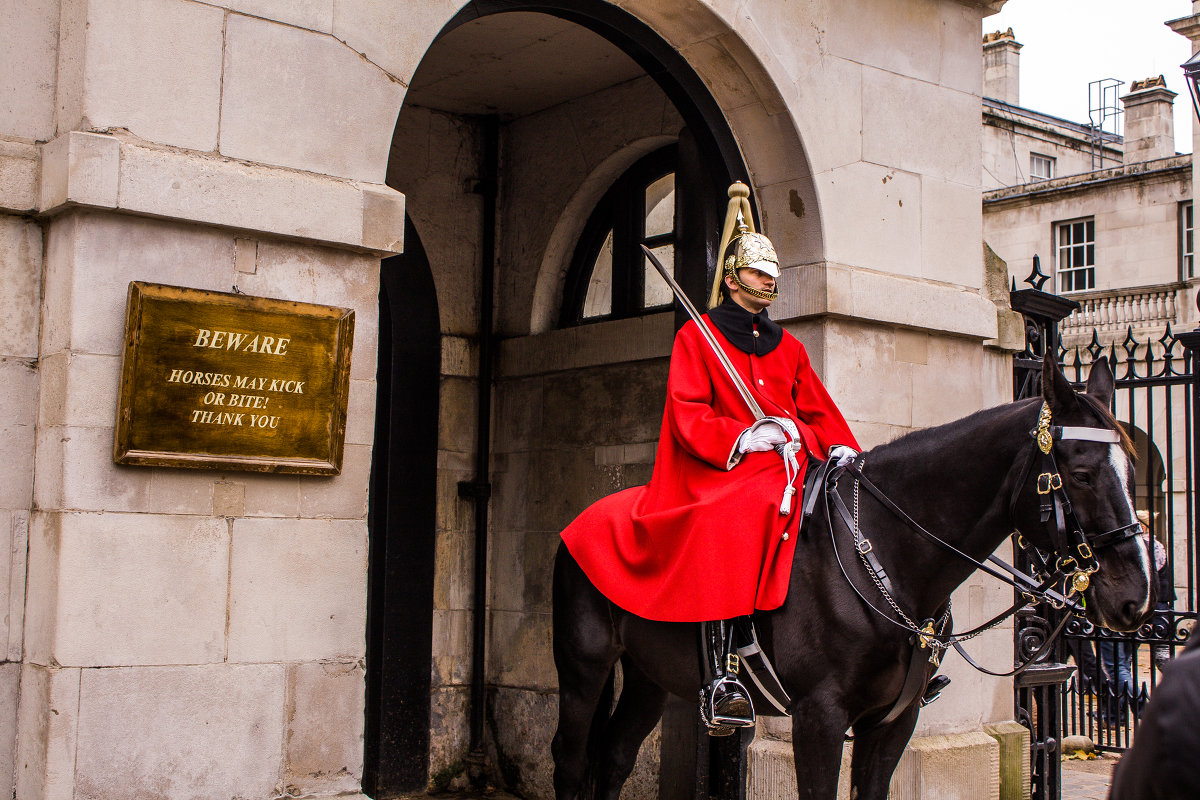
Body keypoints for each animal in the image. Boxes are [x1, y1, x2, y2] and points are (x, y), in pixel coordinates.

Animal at [549, 355, 1152, 800]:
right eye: (1081, 474)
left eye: (1133, 470)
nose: (1136, 598)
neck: (889, 556)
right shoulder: (818, 717)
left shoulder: (891, 722)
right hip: (584, 668)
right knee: (570, 760)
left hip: (649, 675)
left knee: (615, 755)